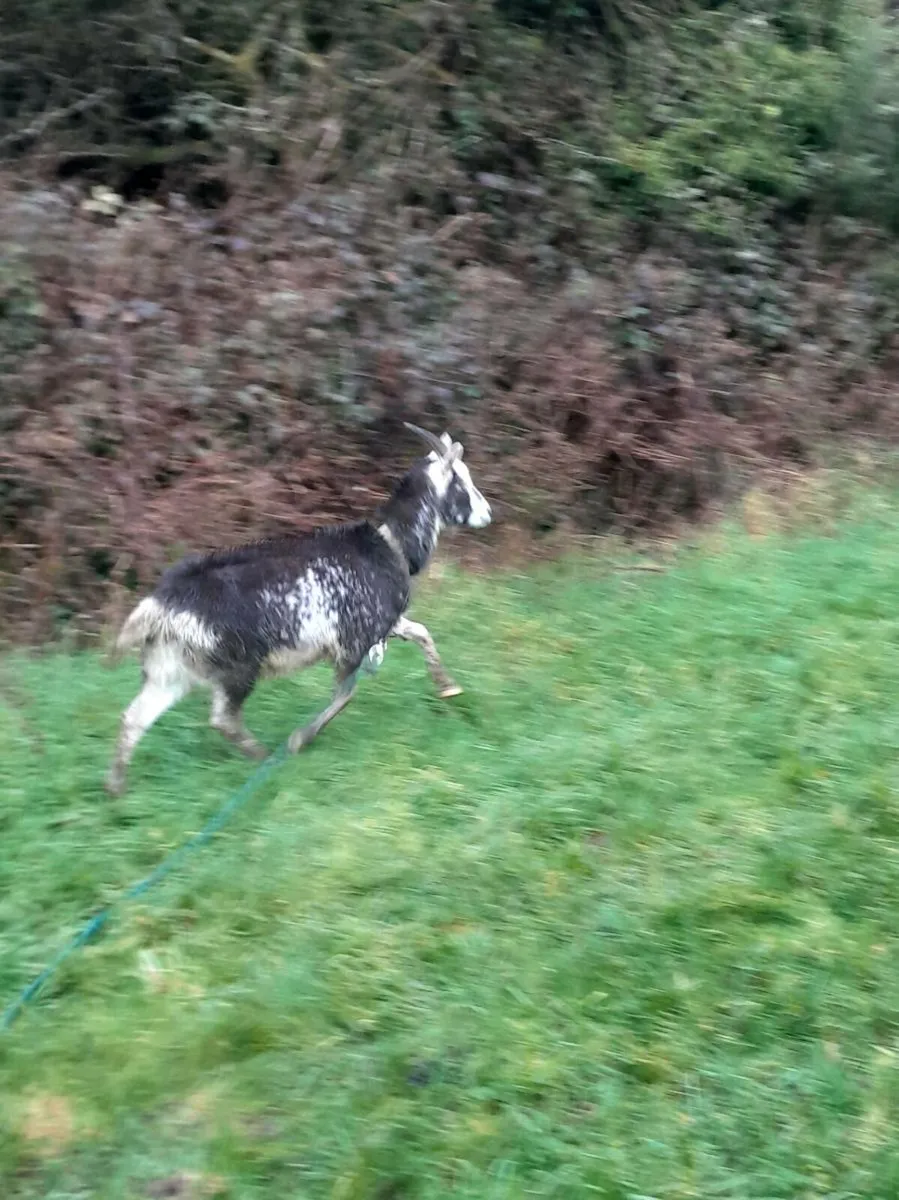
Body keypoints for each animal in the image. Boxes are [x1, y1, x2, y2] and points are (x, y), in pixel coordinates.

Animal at [105, 424, 492, 795]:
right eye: (460, 480)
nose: (488, 513)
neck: (389, 544)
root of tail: (161, 604)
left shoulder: (383, 624)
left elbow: (422, 633)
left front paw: (448, 687)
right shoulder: (353, 640)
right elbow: (345, 694)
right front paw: (300, 739)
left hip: (169, 666)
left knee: (133, 717)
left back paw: (116, 789)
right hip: (238, 666)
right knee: (223, 719)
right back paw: (263, 758)